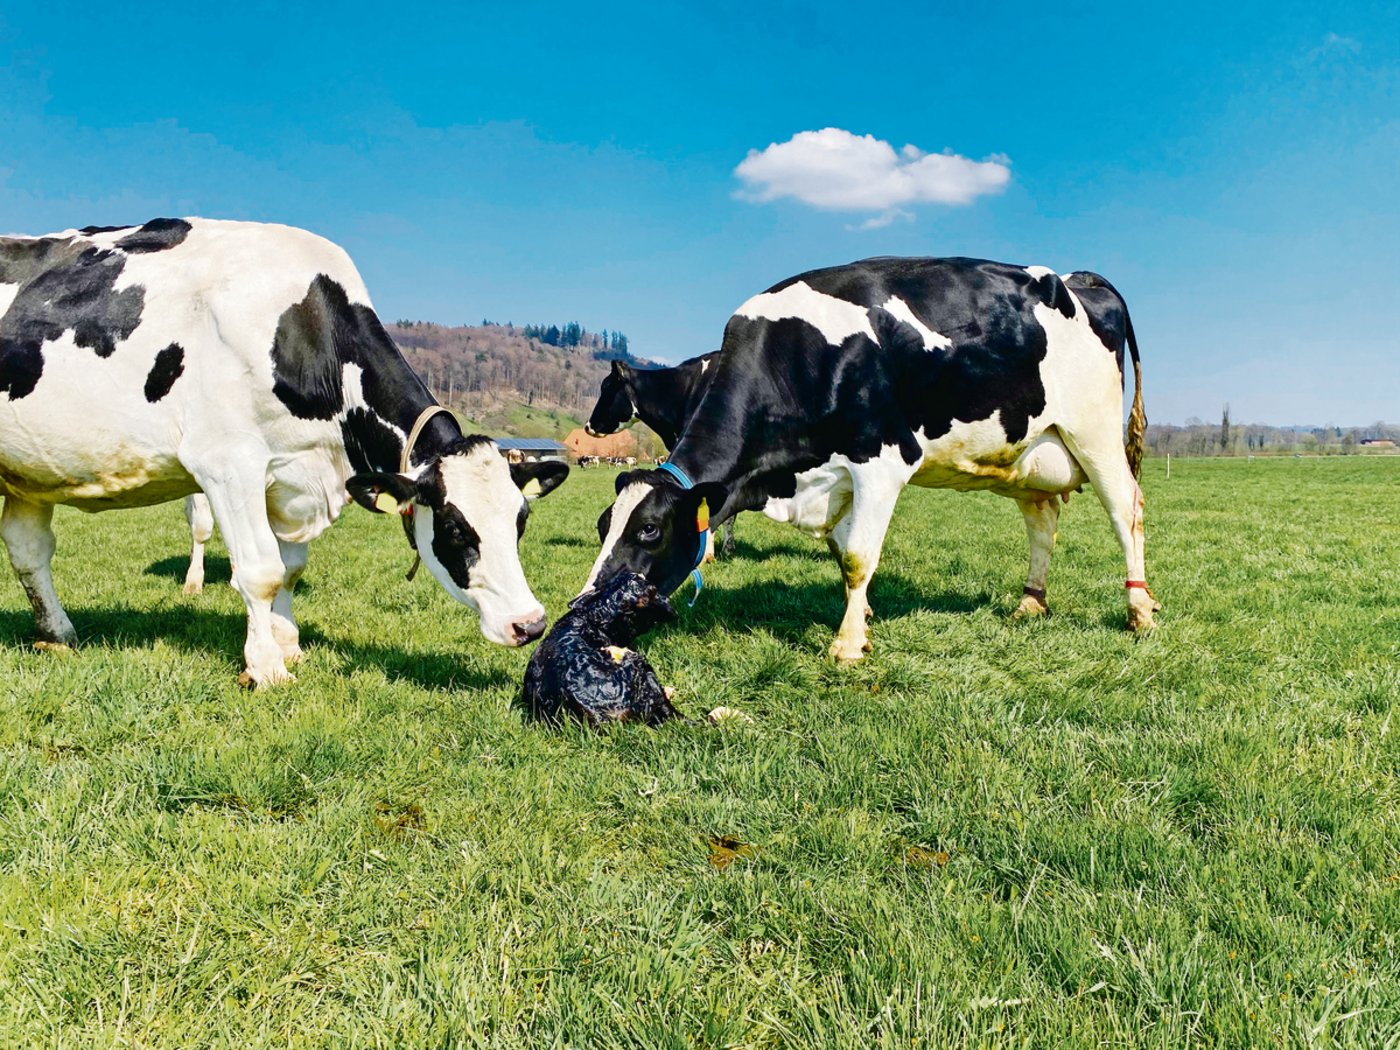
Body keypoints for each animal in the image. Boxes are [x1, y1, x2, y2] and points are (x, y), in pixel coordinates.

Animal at [0, 218, 568, 687]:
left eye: (520, 521)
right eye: (453, 527)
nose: (530, 623)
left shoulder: (290, 476)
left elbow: (291, 568)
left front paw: (288, 643)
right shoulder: (226, 465)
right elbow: (260, 571)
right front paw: (266, 667)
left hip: (28, 473)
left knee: (29, 552)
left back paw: (57, 634)